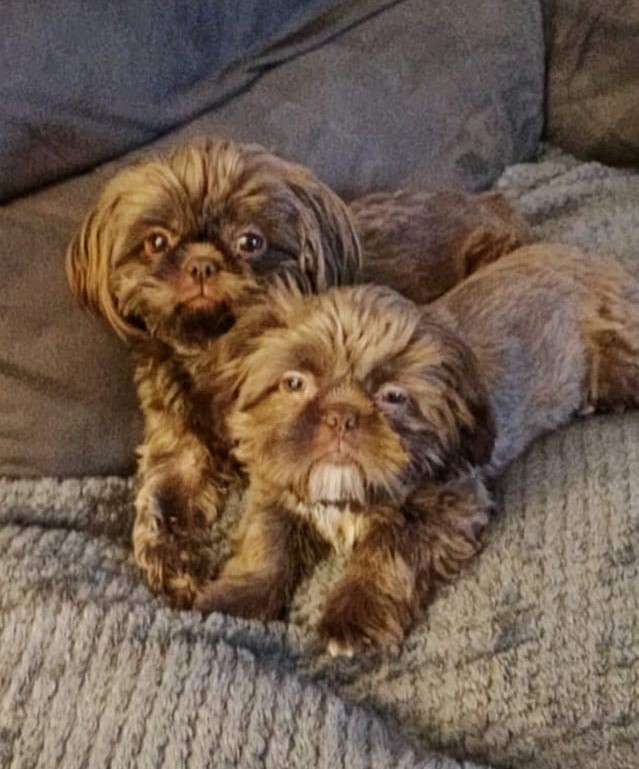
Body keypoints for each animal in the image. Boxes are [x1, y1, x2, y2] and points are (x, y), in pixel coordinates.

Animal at [65, 136, 528, 608]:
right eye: (156, 242)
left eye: (250, 241)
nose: (201, 263)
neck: (216, 349)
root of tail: (488, 202)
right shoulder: (179, 447)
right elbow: (159, 501)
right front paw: (170, 563)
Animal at [194, 243, 639, 652]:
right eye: (293, 383)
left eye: (393, 396)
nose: (341, 416)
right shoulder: (275, 488)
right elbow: (265, 543)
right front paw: (237, 596)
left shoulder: (448, 505)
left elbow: (387, 550)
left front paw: (354, 614)